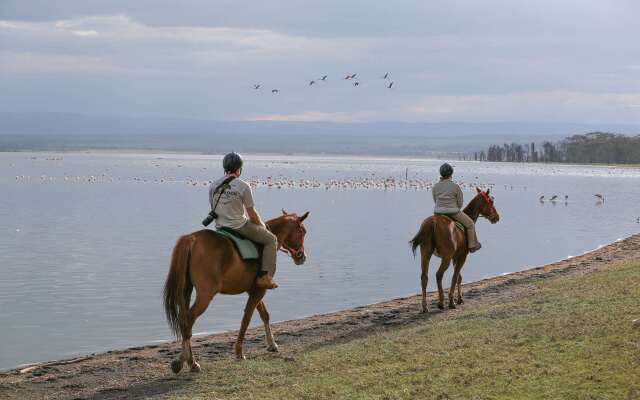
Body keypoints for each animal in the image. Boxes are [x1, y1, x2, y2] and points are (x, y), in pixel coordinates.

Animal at [162, 209, 308, 372]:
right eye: (303, 231)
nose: (302, 256)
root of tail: (192, 238)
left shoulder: (255, 289)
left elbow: (264, 314)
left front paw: (272, 344)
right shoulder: (259, 290)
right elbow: (247, 319)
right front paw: (239, 352)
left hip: (186, 291)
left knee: (183, 320)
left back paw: (184, 360)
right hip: (205, 295)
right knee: (189, 320)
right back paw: (189, 362)